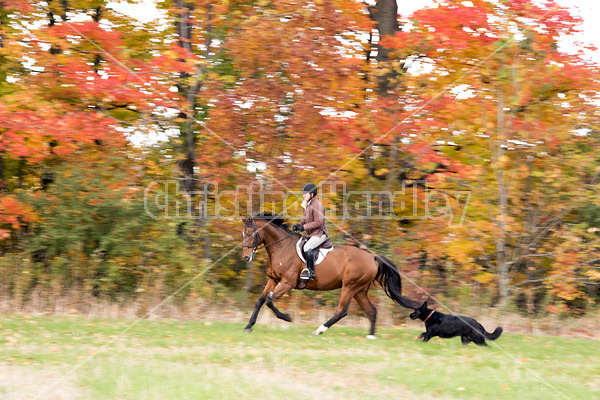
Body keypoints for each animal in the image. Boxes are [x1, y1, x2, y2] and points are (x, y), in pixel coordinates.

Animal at [241, 212, 420, 338]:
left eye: (250, 234)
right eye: (243, 234)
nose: (245, 257)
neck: (281, 247)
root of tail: (371, 257)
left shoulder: (287, 283)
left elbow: (269, 300)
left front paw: (287, 317)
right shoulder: (274, 280)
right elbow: (260, 300)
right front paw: (248, 326)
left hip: (350, 286)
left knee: (341, 311)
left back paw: (318, 331)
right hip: (360, 290)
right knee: (371, 311)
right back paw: (371, 336)